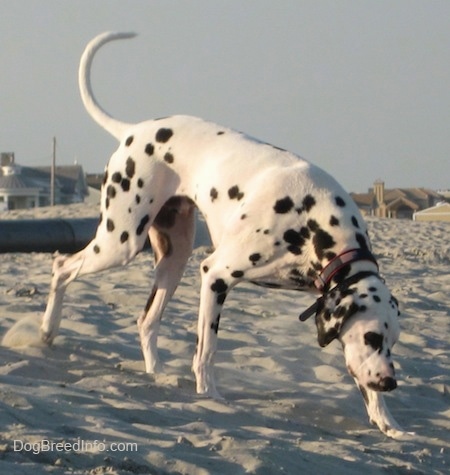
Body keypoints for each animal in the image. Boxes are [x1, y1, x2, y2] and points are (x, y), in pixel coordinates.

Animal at [41, 31, 408, 440]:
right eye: (372, 337)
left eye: (392, 342)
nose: (390, 382)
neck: (313, 223)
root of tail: (134, 130)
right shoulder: (216, 275)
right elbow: (207, 350)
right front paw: (209, 395)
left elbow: (364, 385)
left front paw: (388, 422)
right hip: (121, 241)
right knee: (62, 266)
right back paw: (47, 331)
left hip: (174, 259)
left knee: (146, 321)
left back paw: (156, 375)